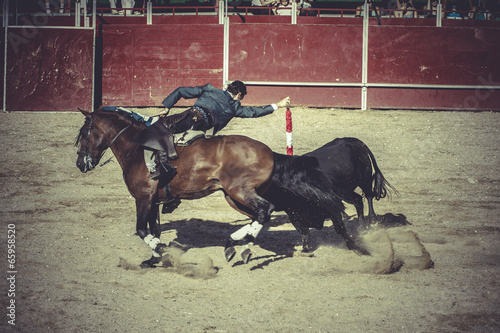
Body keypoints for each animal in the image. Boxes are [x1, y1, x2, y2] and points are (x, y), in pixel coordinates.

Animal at [73, 106, 364, 268]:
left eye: (84, 133)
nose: (80, 163)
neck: (136, 147)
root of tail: (270, 152)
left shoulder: (143, 198)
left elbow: (142, 230)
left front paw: (163, 252)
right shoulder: (153, 200)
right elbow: (152, 229)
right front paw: (154, 259)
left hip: (238, 192)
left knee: (265, 211)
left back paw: (239, 245)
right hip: (234, 198)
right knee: (265, 215)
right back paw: (239, 244)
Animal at [264, 136, 396, 250]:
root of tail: (350, 140)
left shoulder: (330, 204)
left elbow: (338, 227)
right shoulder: (294, 212)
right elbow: (303, 231)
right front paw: (305, 249)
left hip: (364, 178)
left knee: (368, 195)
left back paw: (372, 220)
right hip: (345, 192)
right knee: (358, 200)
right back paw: (362, 227)